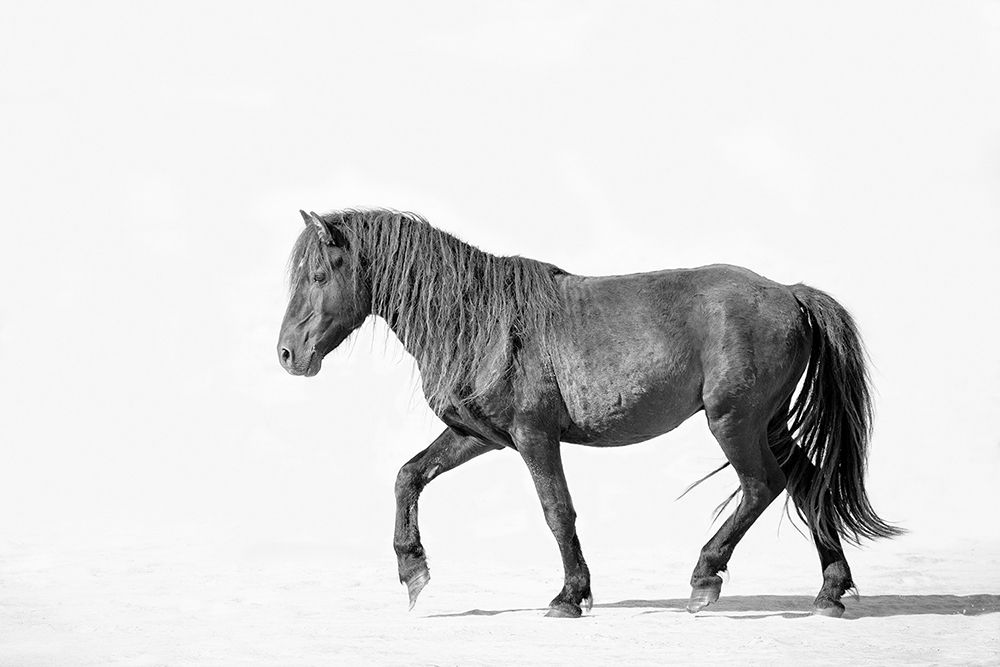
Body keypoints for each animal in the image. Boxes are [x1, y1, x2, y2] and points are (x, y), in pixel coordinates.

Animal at [277, 207, 902, 618]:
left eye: (319, 274)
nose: (288, 355)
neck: (481, 320)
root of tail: (789, 293)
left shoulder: (533, 436)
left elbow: (558, 512)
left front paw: (569, 596)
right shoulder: (479, 435)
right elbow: (408, 475)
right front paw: (413, 571)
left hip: (734, 422)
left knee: (762, 485)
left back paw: (705, 578)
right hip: (766, 423)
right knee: (807, 482)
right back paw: (830, 592)